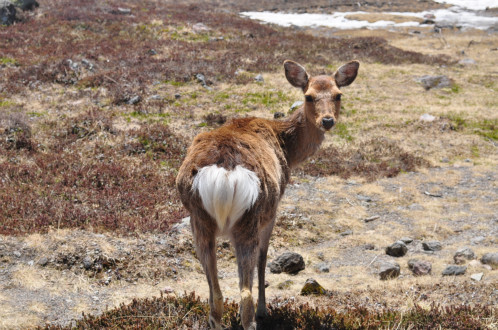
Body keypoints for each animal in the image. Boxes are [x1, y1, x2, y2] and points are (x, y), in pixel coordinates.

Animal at [175, 60, 358, 330]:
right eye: (308, 96)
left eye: (338, 95)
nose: (327, 120)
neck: (288, 150)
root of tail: (224, 170)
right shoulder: (273, 211)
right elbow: (264, 259)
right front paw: (265, 309)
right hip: (250, 216)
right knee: (245, 296)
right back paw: (257, 314)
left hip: (198, 220)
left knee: (216, 296)